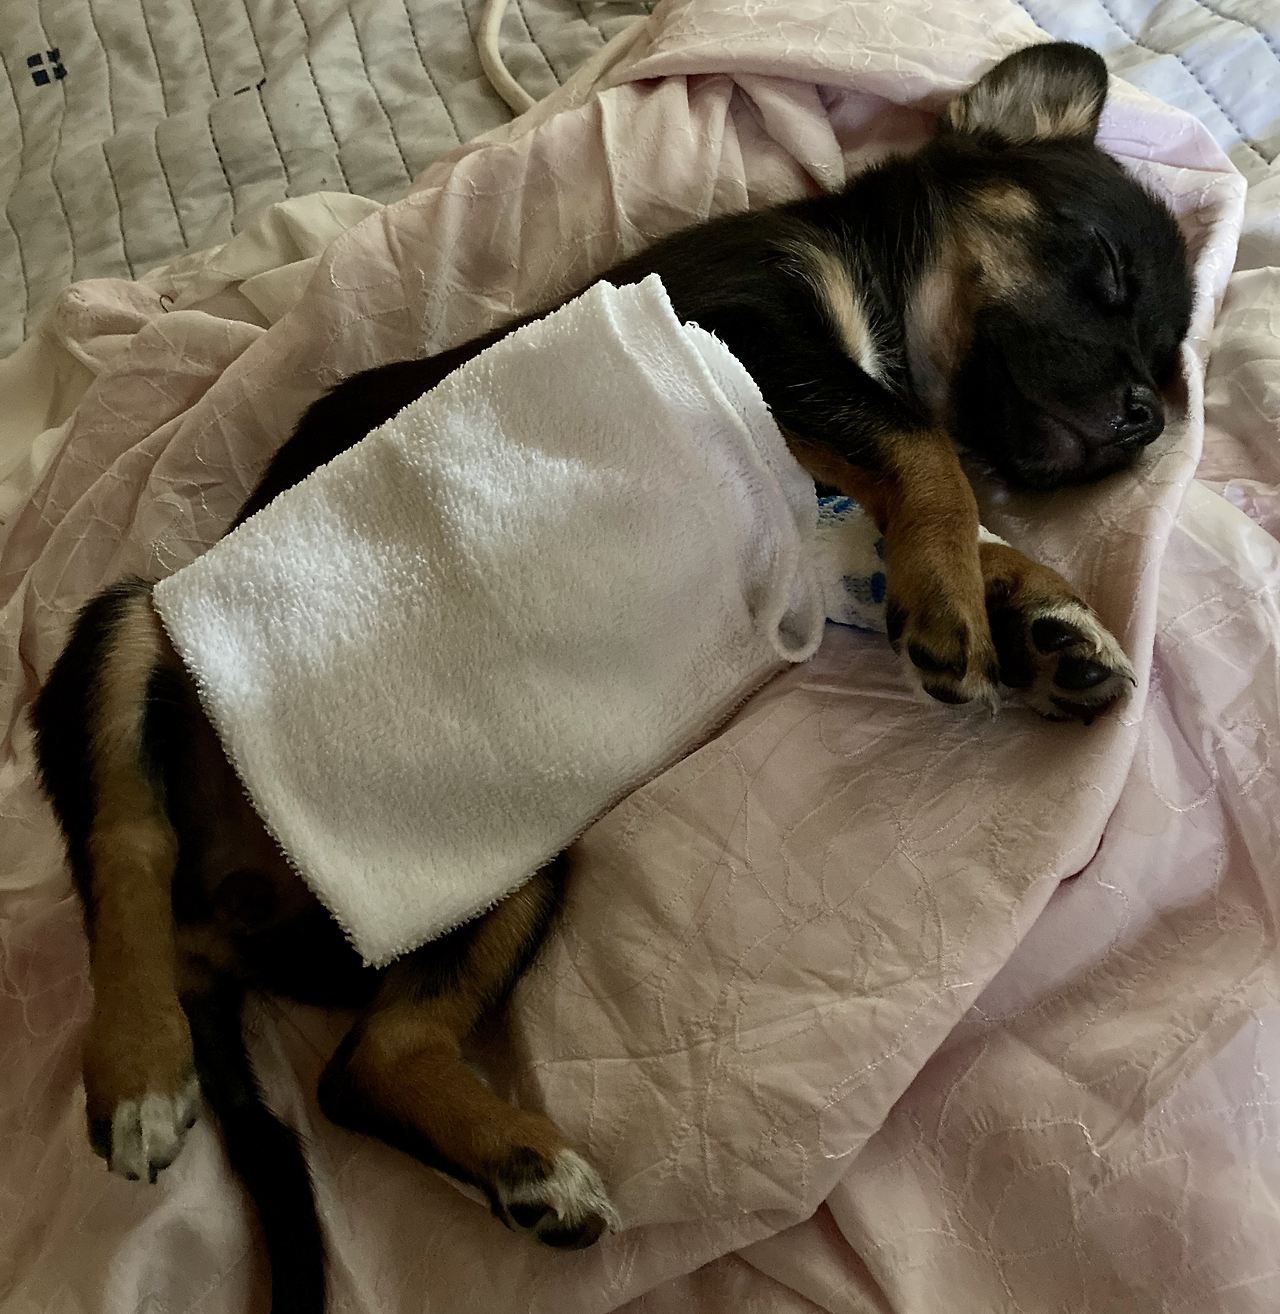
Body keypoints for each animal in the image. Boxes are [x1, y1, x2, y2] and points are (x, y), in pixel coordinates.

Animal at [32, 41, 1192, 1314]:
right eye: (1104, 273)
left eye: (1164, 369)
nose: (1143, 420)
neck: (873, 296)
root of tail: (224, 939)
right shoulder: (743, 327)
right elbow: (922, 449)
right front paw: (962, 606)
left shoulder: (815, 516)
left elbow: (941, 510)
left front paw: (1040, 623)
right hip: (129, 625)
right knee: (125, 848)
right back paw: (140, 1069)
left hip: (502, 865)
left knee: (364, 1064)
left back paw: (522, 1169)